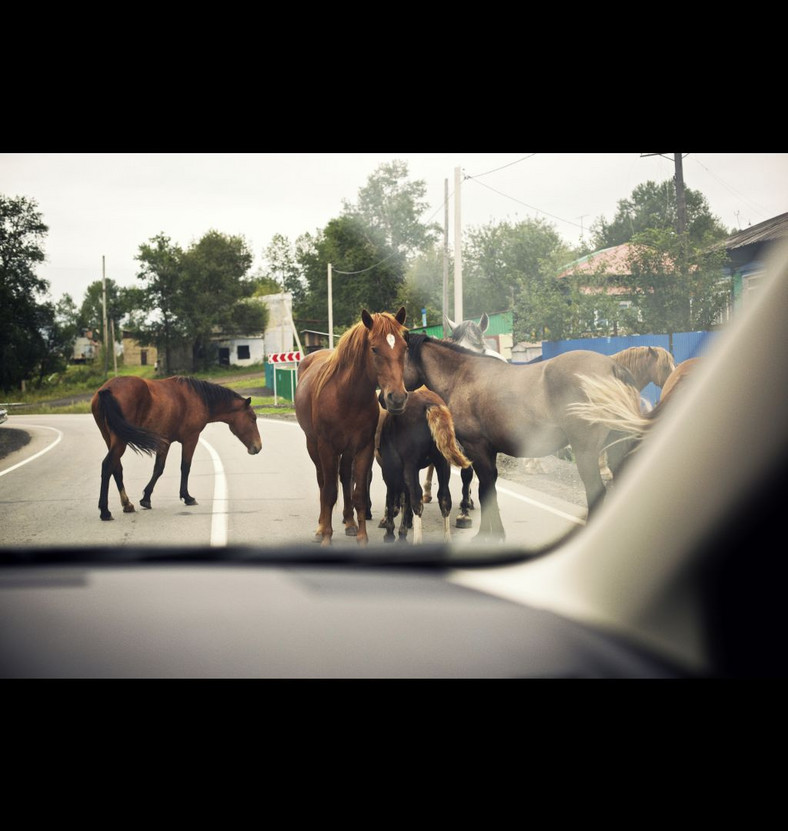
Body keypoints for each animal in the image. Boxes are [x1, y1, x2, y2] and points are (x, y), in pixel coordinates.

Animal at [89, 376, 262, 520]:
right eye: (253, 418)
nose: (258, 447)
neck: (198, 397)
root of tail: (107, 389)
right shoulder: (190, 439)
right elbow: (185, 467)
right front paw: (187, 497)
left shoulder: (164, 443)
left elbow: (158, 469)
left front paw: (146, 498)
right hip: (120, 441)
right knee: (107, 466)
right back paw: (105, 511)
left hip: (111, 439)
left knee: (116, 468)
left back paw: (127, 504)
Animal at [294, 308, 410, 544]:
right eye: (374, 348)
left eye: (404, 347)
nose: (397, 398)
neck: (347, 396)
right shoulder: (327, 448)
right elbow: (329, 492)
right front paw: (326, 536)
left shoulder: (364, 448)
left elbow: (358, 494)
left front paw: (362, 536)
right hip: (313, 445)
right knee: (323, 481)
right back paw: (321, 527)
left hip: (347, 451)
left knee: (346, 478)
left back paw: (349, 522)